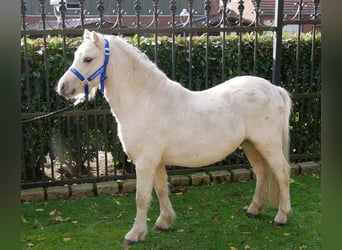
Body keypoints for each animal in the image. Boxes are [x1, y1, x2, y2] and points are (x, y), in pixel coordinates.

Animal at [56, 30, 292, 245]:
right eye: (77, 55)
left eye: (88, 58)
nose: (62, 87)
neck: (146, 101)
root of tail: (274, 89)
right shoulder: (157, 162)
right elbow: (161, 190)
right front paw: (164, 222)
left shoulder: (145, 162)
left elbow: (142, 198)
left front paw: (134, 235)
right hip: (250, 144)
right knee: (262, 172)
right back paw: (254, 210)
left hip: (267, 145)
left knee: (281, 173)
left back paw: (281, 217)